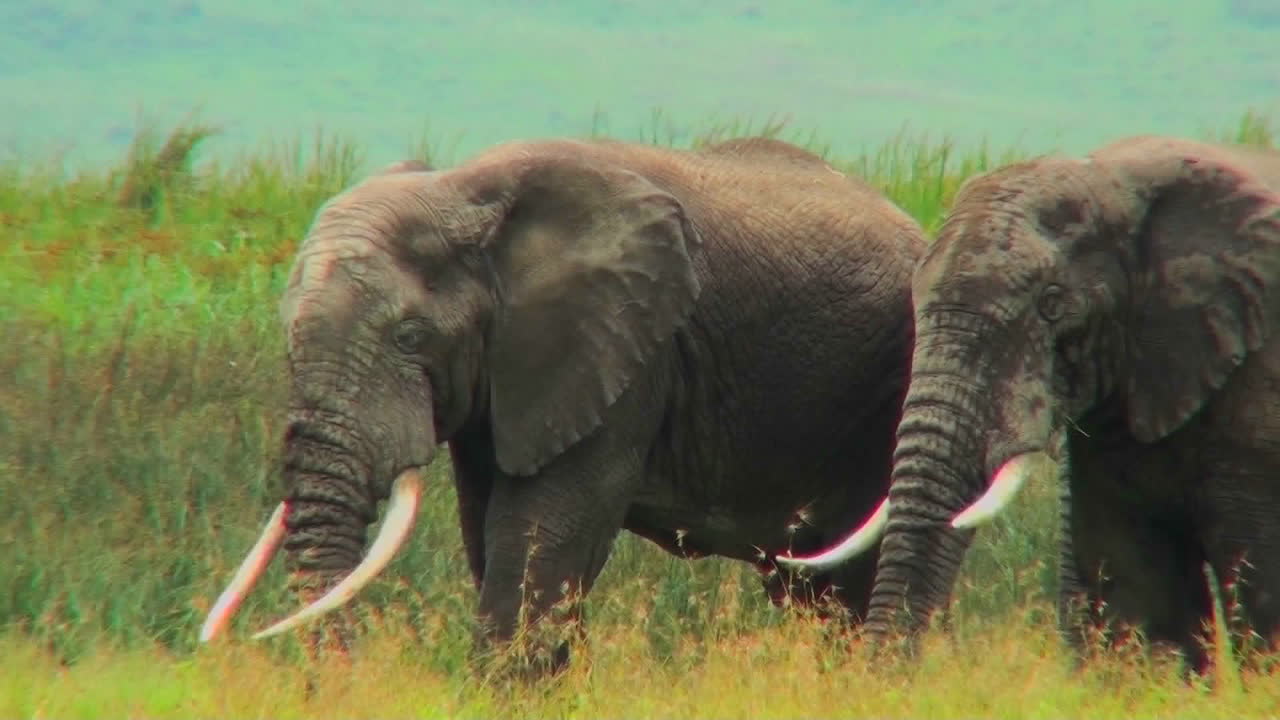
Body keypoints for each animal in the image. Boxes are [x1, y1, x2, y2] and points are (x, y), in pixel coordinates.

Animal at [198, 135, 928, 675]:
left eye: (410, 337)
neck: (464, 191)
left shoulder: (628, 346)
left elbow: (544, 531)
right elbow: (491, 528)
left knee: (844, 583)